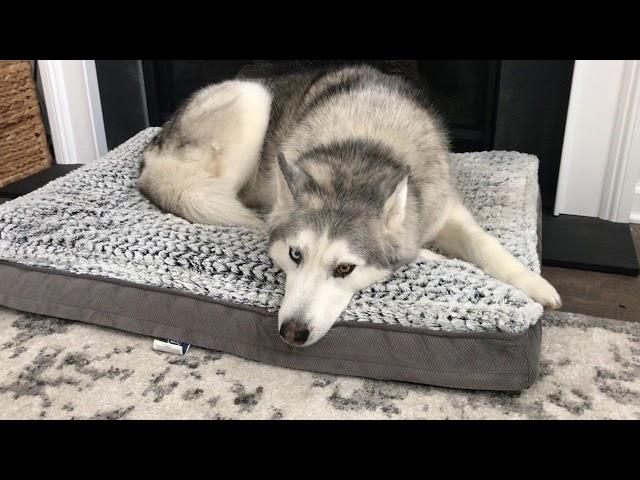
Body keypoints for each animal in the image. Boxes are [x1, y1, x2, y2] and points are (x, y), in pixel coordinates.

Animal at [139, 65, 560, 346]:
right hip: (250, 100)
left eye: (344, 269)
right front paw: (430, 256)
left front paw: (534, 283)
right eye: (295, 255)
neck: (361, 149)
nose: (293, 332)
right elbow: (415, 251)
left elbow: (485, 242)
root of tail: (152, 150)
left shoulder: (444, 208)